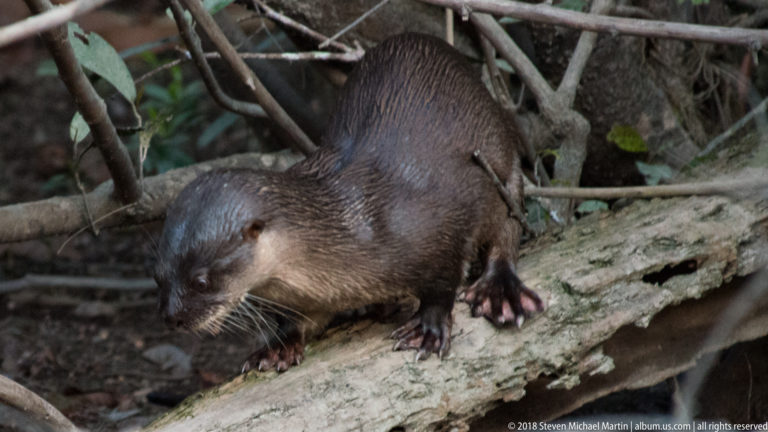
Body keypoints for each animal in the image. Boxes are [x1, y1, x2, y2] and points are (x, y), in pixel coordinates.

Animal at [153, 33, 544, 373]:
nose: (172, 318)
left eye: (201, 281)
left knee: (508, 225)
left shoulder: (441, 223)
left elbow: (444, 281)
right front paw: (278, 345)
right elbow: (300, 319)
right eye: (158, 277)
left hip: (502, 161)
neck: (354, 230)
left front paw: (428, 328)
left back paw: (500, 292)